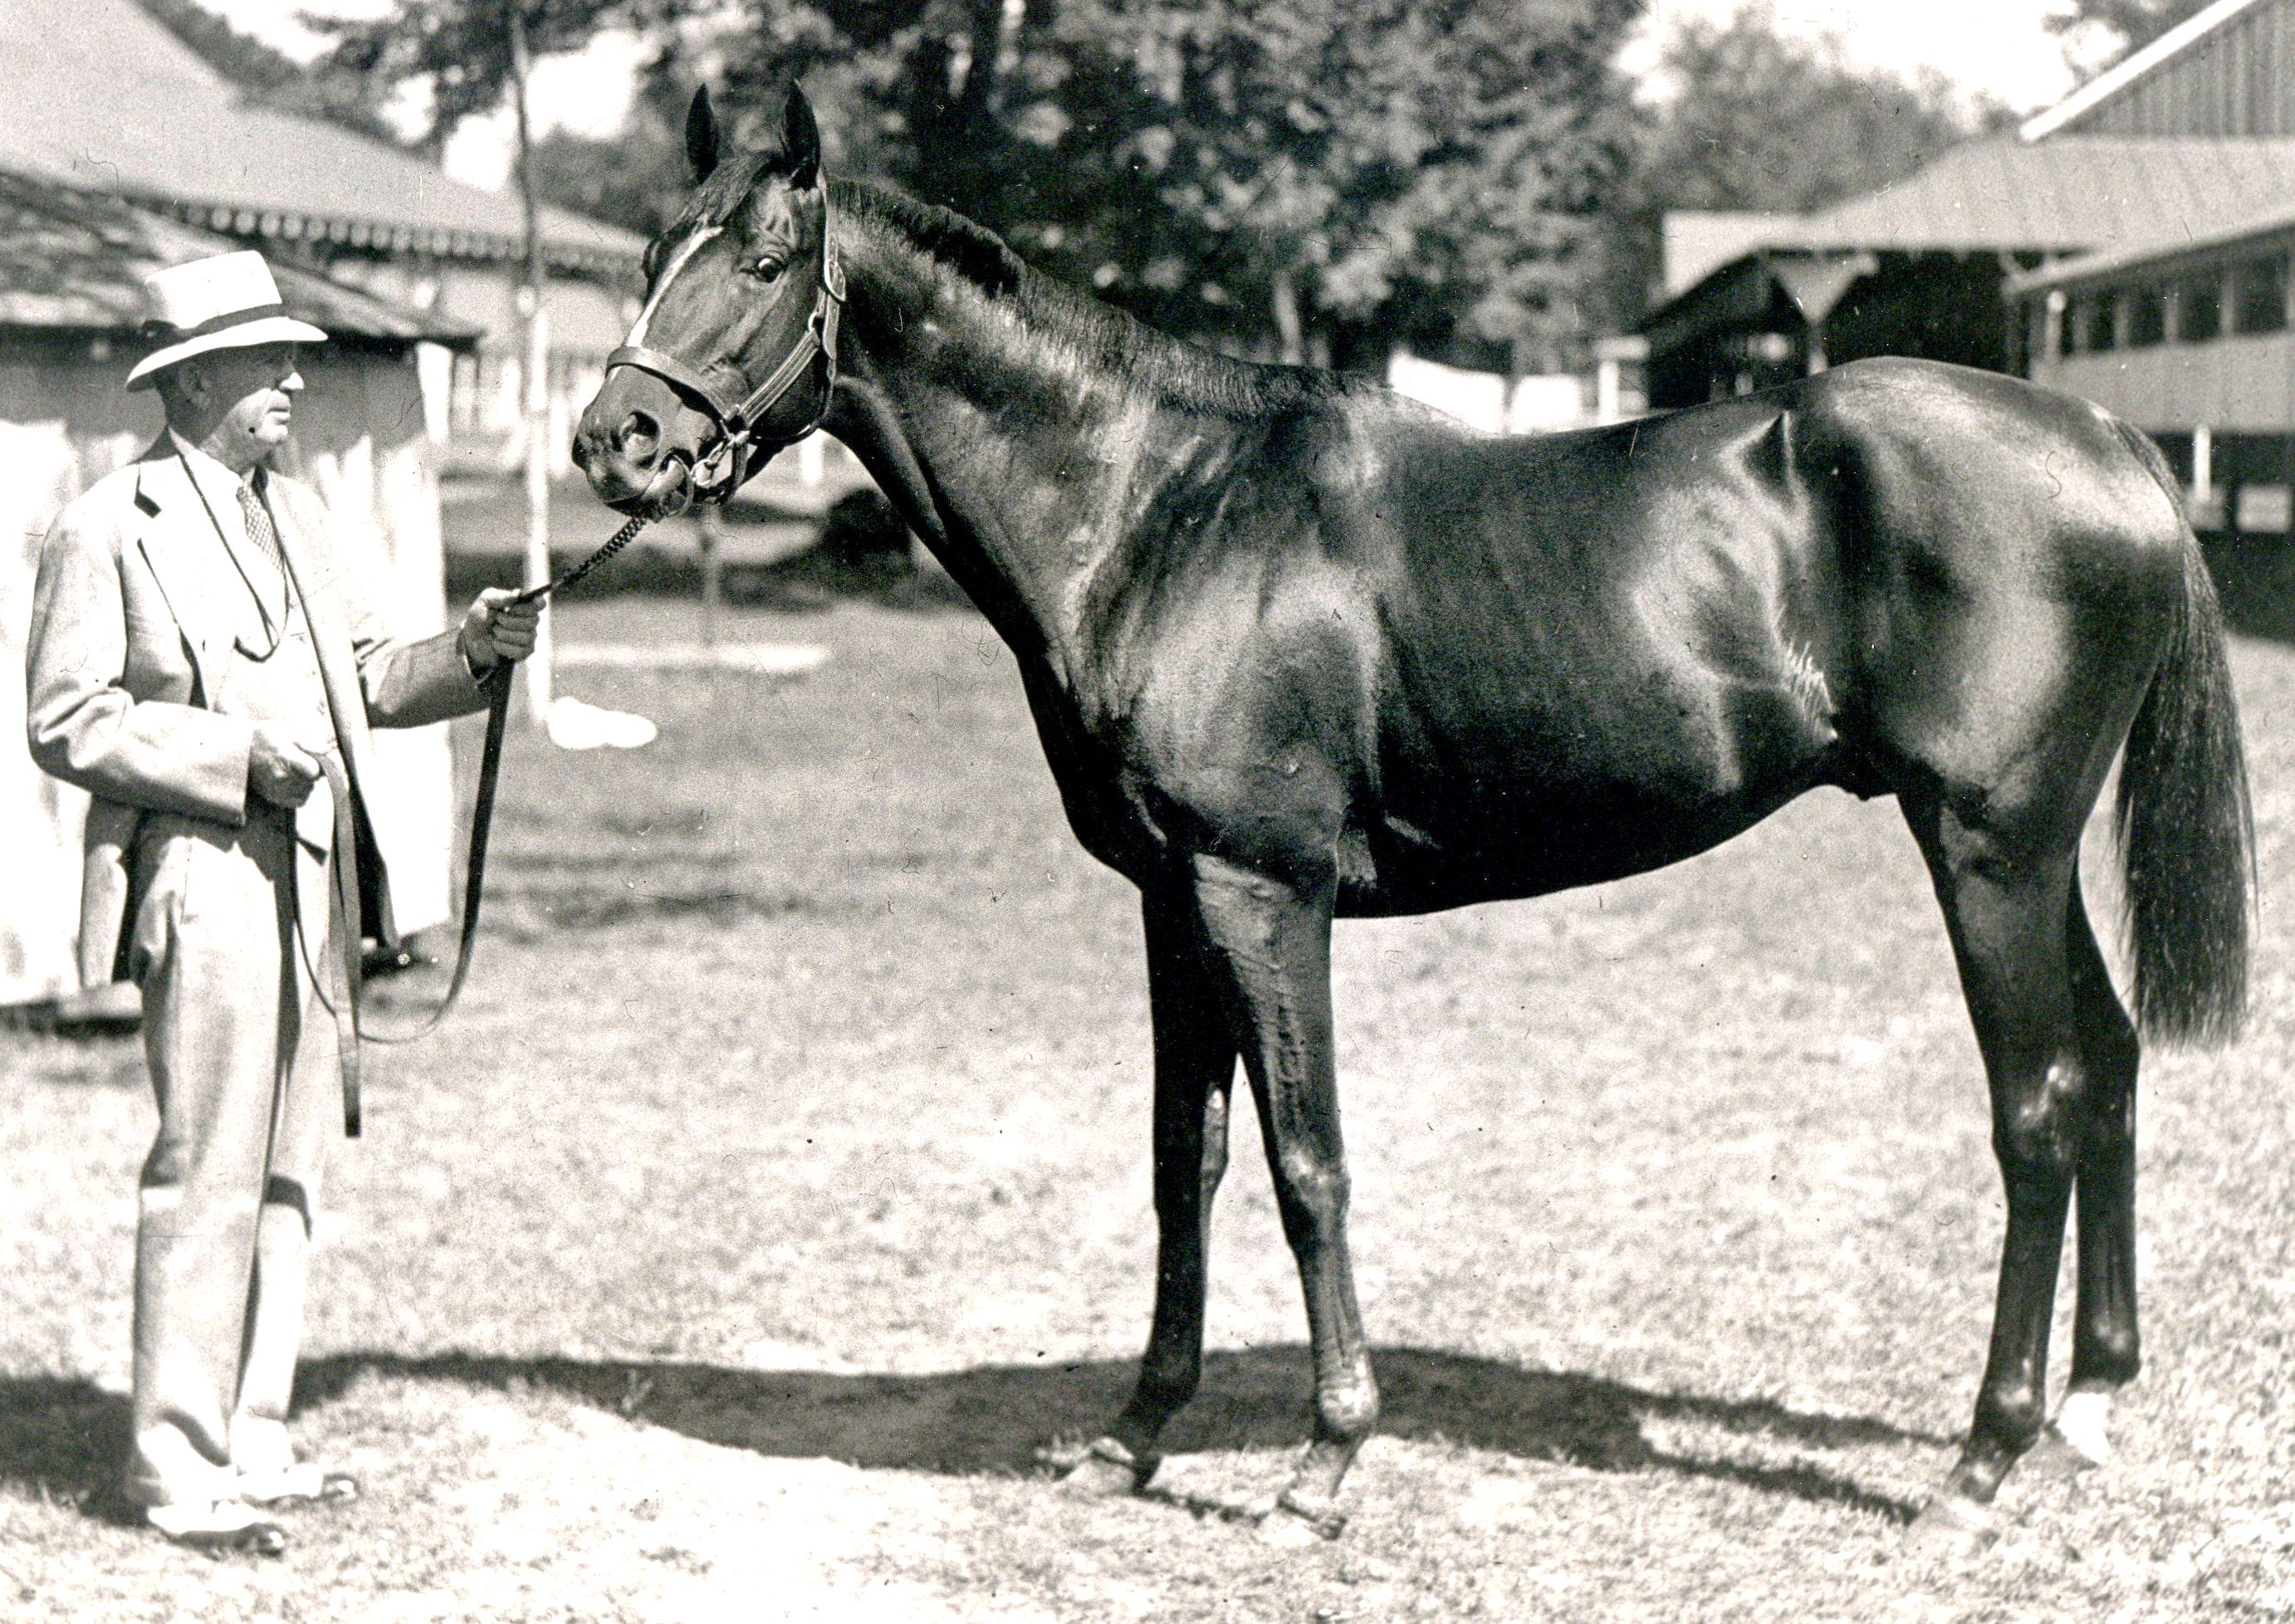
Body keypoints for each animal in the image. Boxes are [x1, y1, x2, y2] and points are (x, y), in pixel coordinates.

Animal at [564, 85, 2249, 1550]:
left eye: (762, 264)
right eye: (650, 261)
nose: (612, 443)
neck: (1157, 508)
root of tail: (2112, 446)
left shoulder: (1263, 893)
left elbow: (1309, 1163)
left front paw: (1324, 1463)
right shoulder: (1172, 901)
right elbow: (1184, 1162)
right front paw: (1135, 1434)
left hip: (1987, 854)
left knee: (2037, 1107)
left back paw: (1983, 1457)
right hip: (2028, 858)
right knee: (2107, 1067)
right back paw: (2088, 1409)